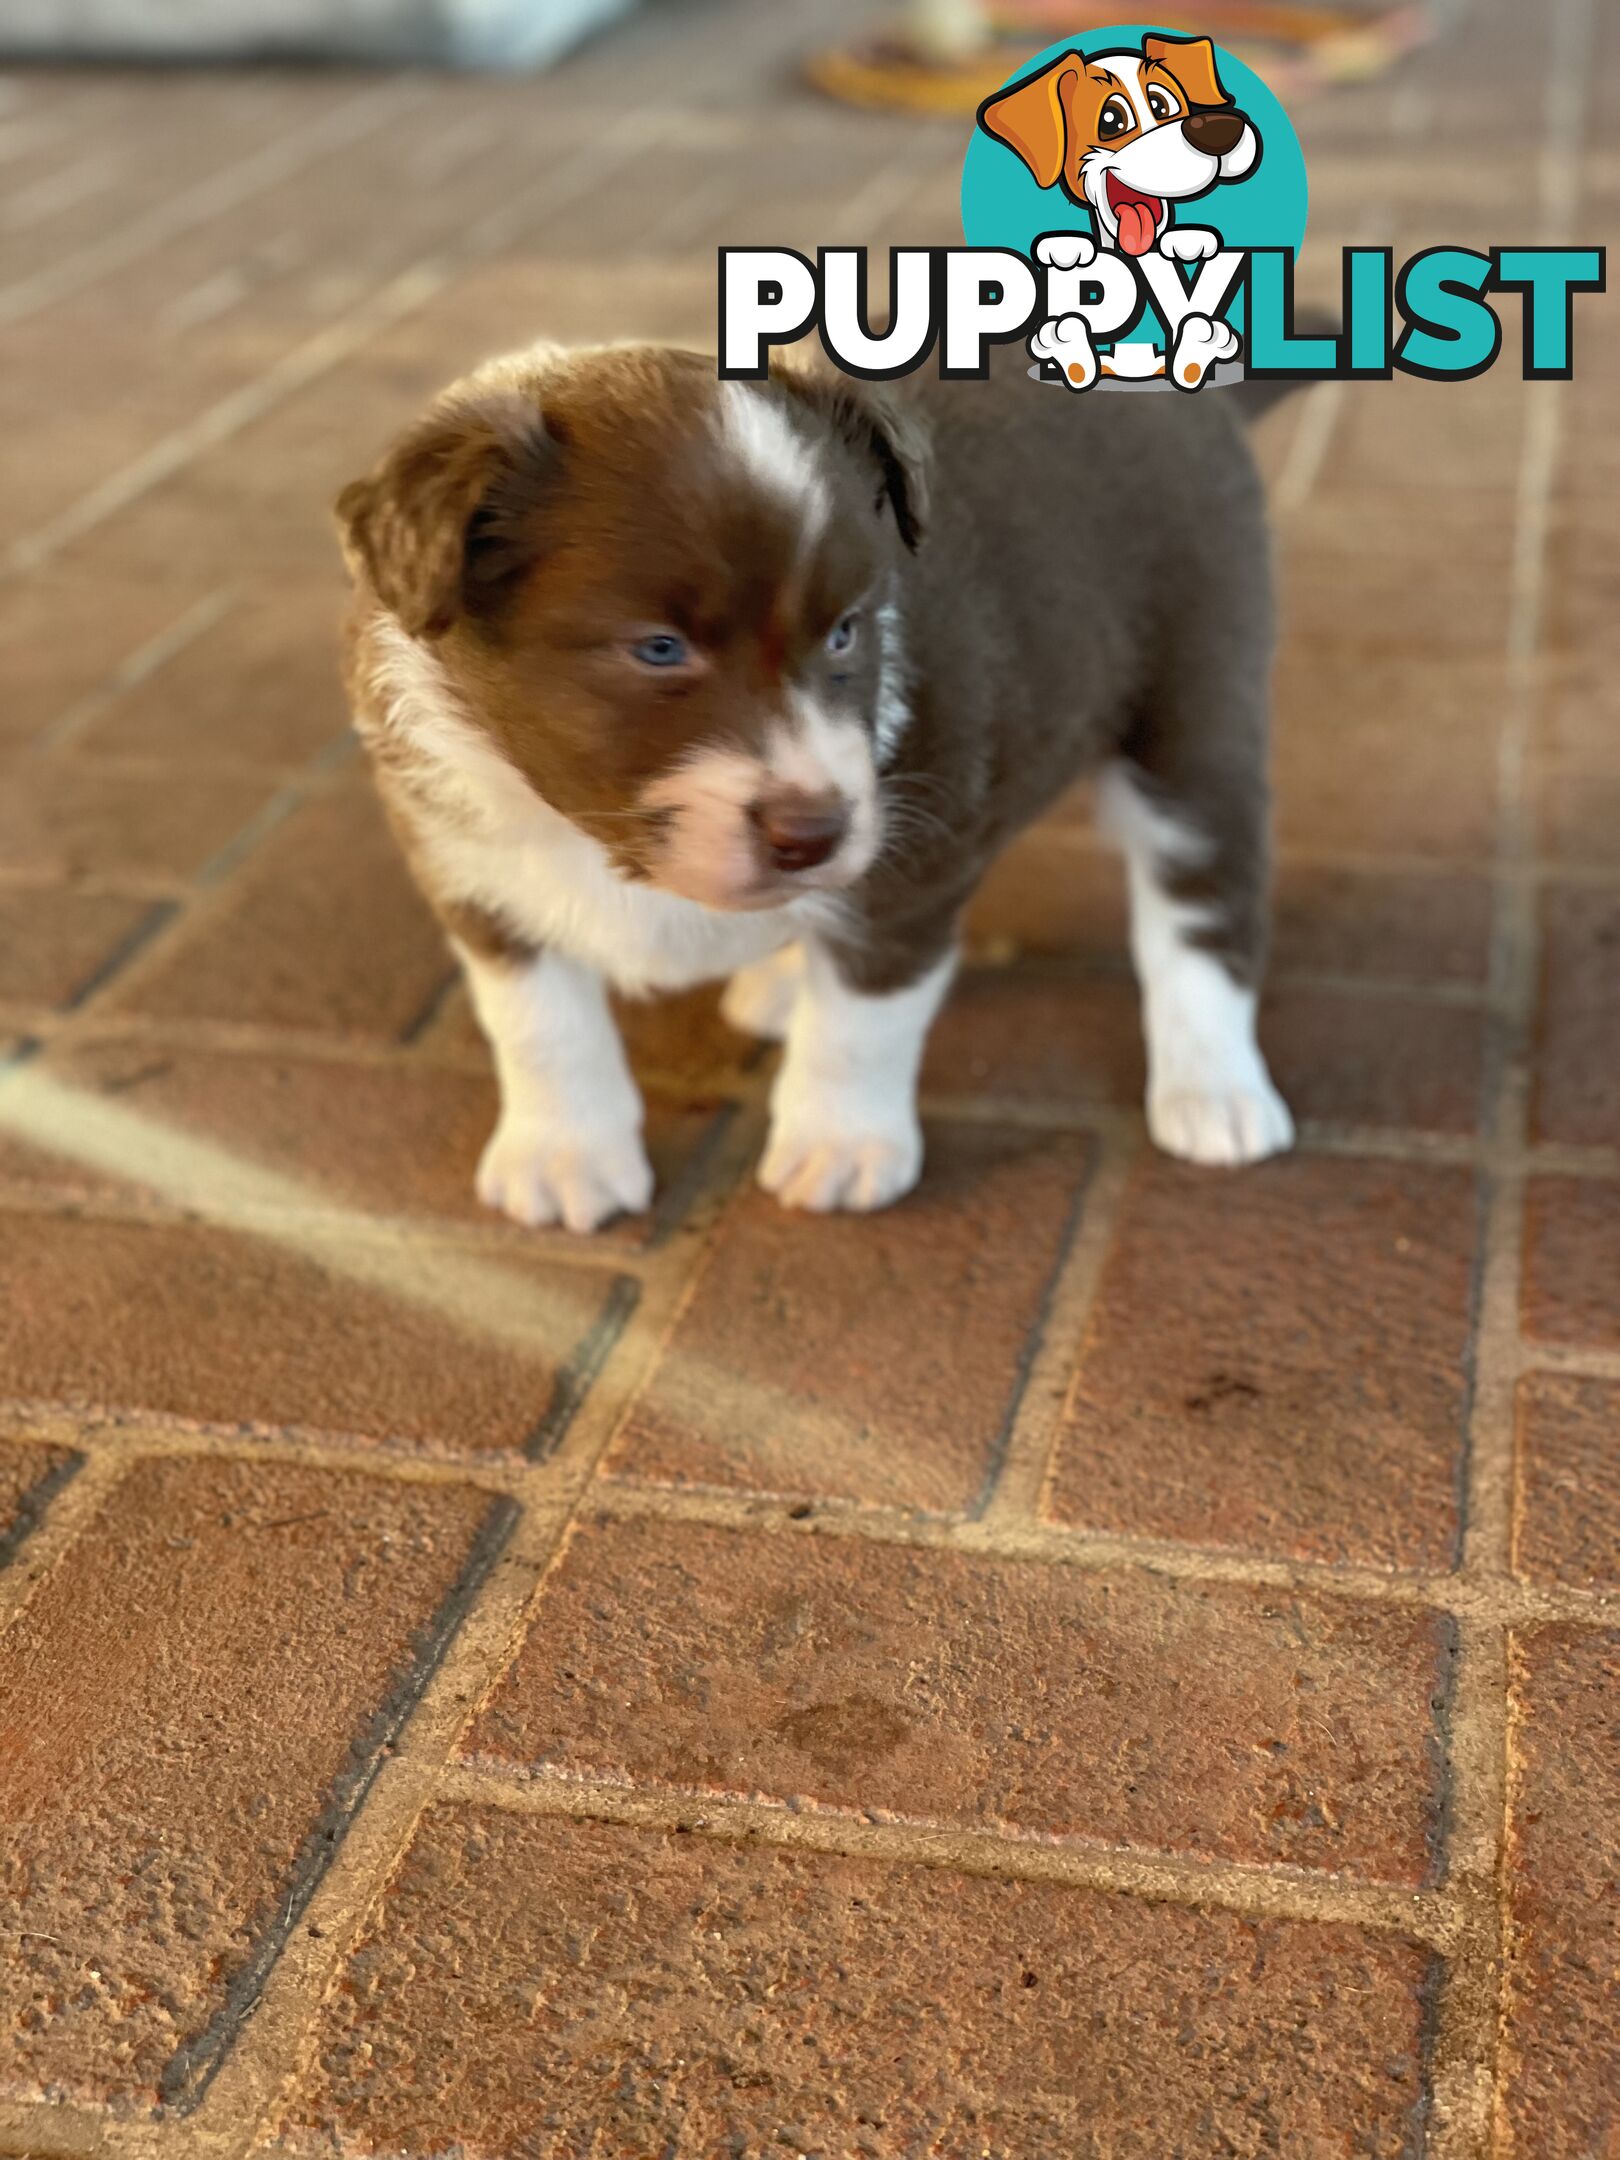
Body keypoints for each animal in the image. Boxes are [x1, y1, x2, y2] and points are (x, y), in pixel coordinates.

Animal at [339, 347, 1296, 1244]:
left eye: (845, 632)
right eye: (658, 648)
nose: (815, 835)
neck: (604, 843)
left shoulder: (912, 867)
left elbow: (863, 1022)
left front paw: (840, 1145)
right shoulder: (470, 868)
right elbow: (539, 1022)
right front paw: (565, 1155)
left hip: (1193, 707)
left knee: (1203, 905)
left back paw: (1213, 1087)